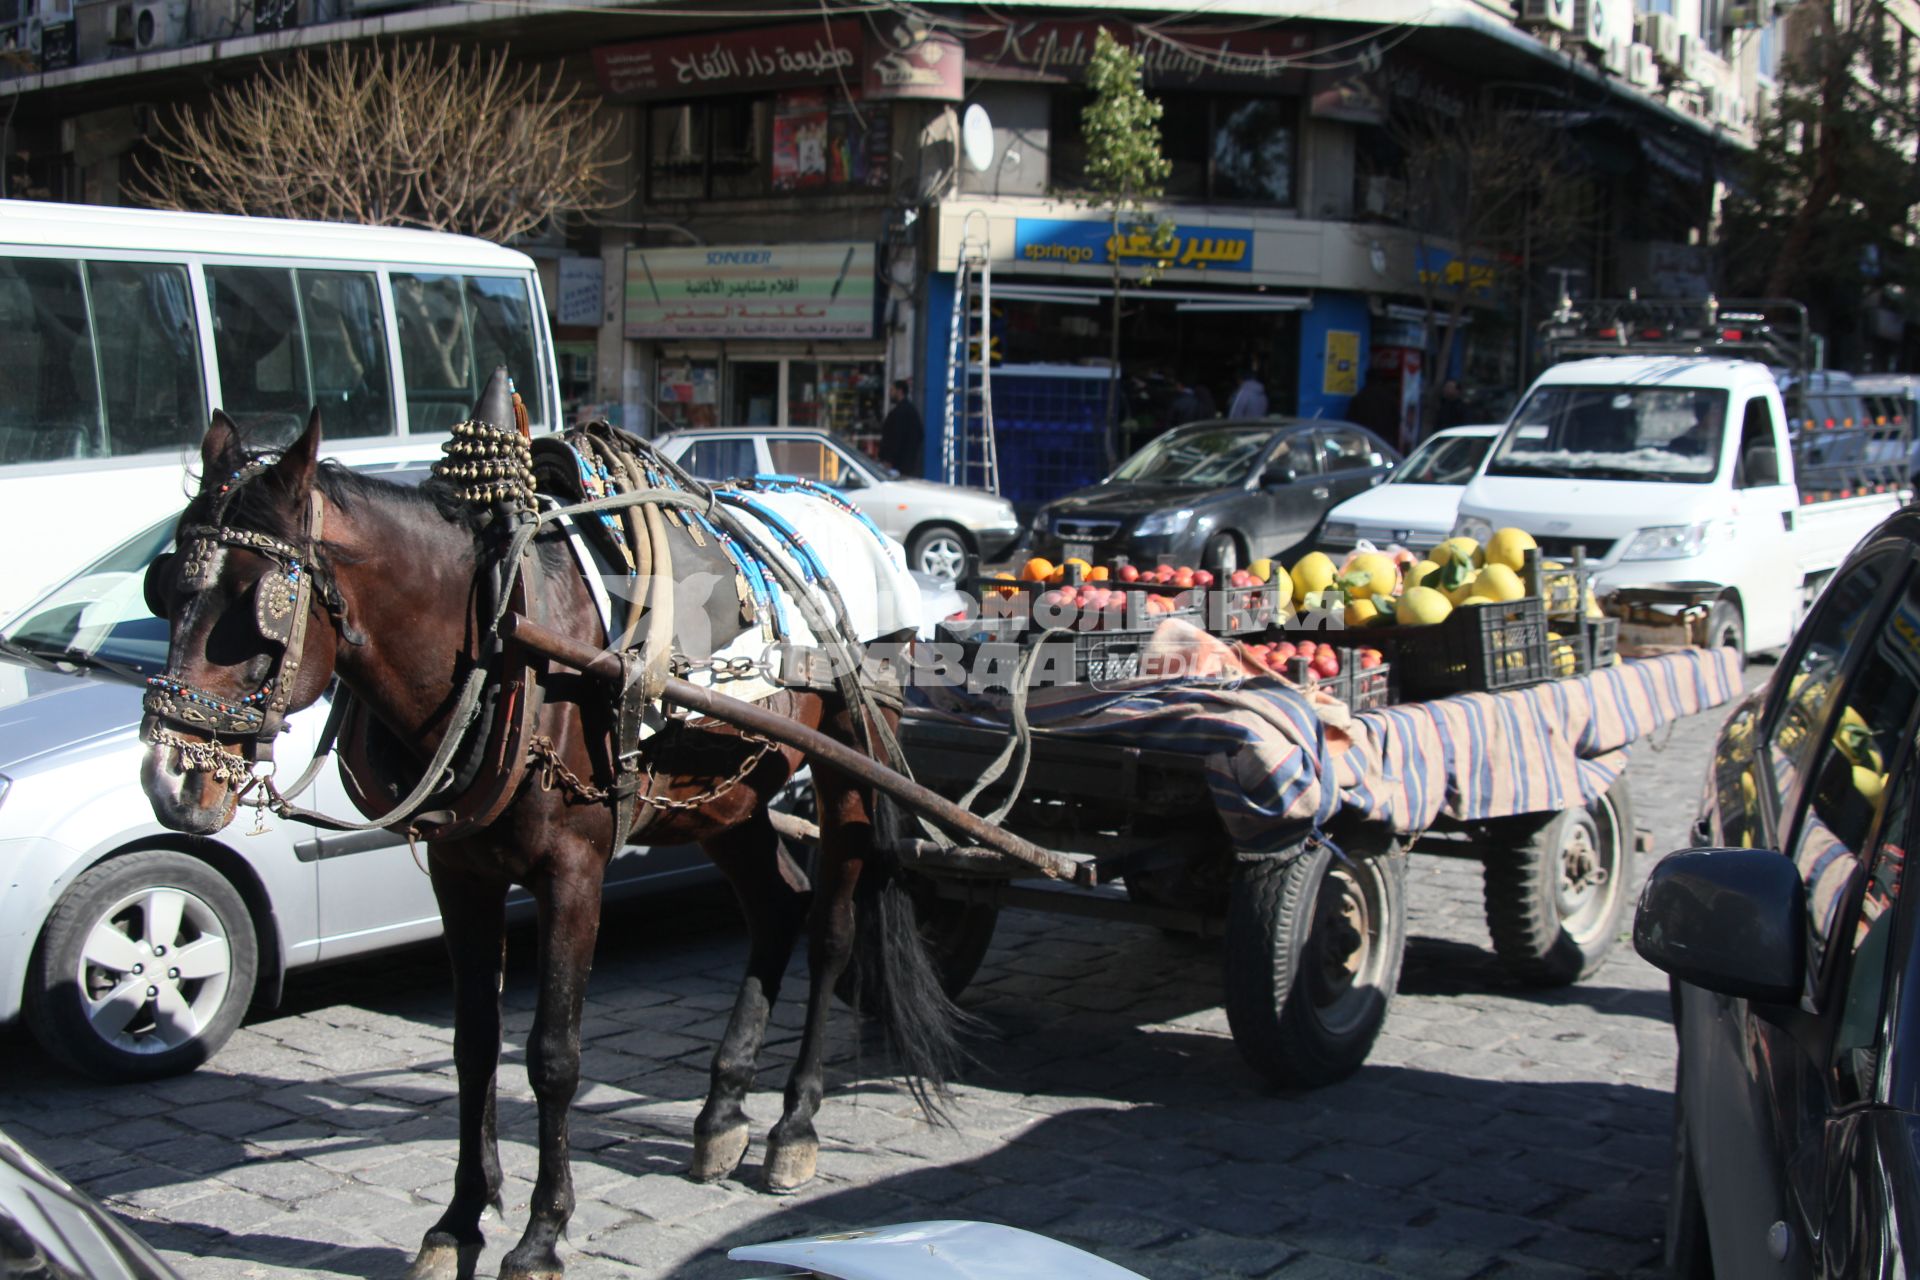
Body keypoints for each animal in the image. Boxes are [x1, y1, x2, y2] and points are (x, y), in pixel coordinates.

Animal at [142, 395, 967, 1274]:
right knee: (777, 904)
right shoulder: (460, 870)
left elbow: (553, 1056)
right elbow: (475, 1043)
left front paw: (542, 1235)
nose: (171, 781)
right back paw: (722, 1113)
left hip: (853, 759)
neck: (501, 641)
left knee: (832, 929)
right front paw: (459, 1222)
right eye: (166, 591)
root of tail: (851, 515)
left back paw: (793, 1127)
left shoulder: (573, 870)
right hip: (725, 792)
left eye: (255, 607)